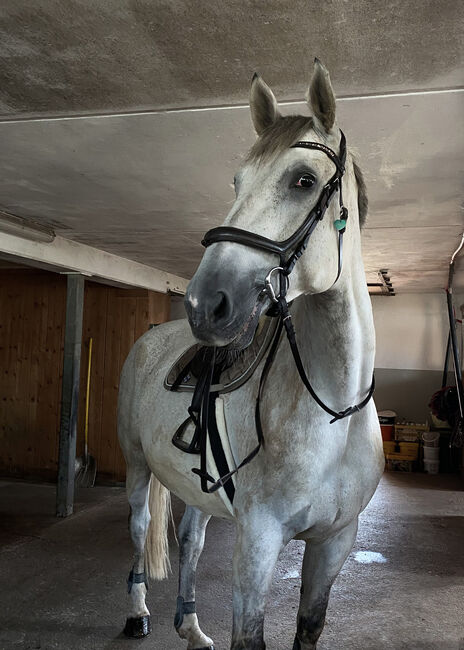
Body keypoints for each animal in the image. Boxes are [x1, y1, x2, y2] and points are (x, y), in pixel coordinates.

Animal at [118, 58, 384, 644]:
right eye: (237, 182)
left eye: (304, 180)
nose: (203, 303)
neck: (334, 411)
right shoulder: (258, 545)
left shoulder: (333, 544)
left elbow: (307, 628)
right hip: (136, 468)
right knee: (141, 529)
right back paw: (138, 613)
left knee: (191, 539)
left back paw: (191, 628)